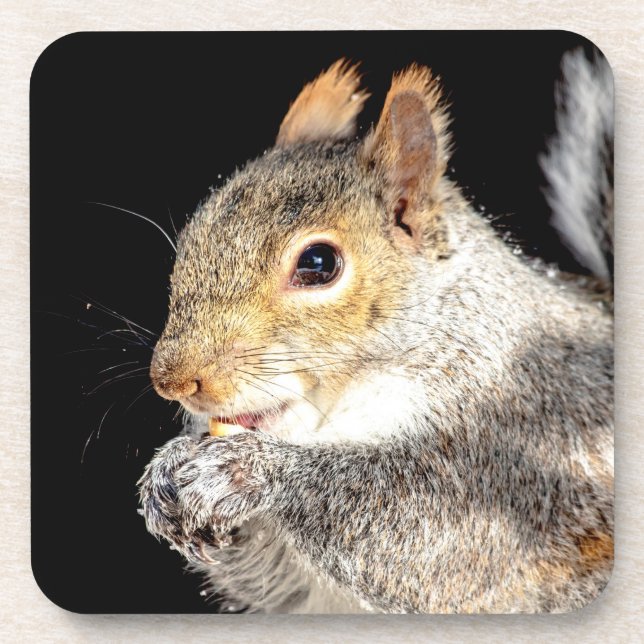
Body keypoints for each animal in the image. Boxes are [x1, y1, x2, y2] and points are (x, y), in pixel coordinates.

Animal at [138, 51, 614, 614]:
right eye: (192, 238)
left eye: (318, 263)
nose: (173, 380)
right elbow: (268, 577)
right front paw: (166, 472)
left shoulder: (516, 450)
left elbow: (431, 537)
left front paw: (244, 471)